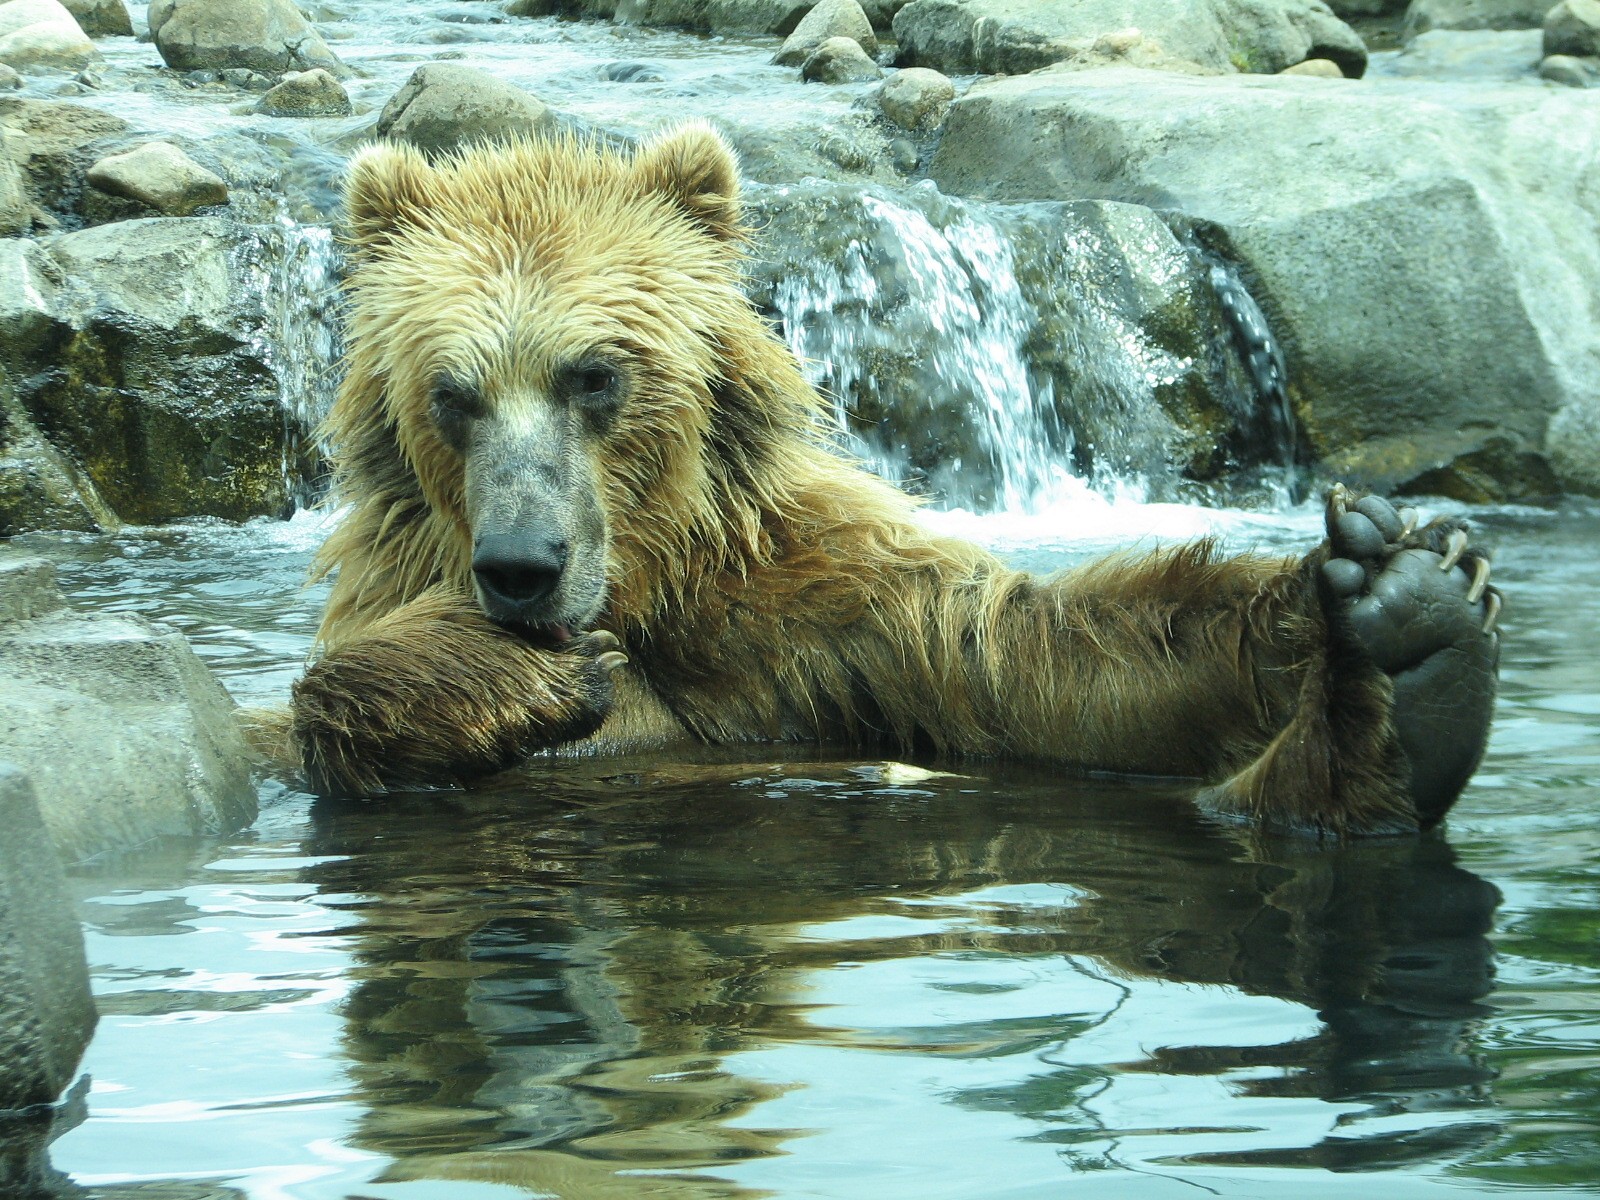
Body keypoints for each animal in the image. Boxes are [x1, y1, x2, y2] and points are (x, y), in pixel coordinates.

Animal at [287, 125, 1501, 836]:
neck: (648, 589)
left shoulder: (817, 616)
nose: (522, 567)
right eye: (452, 392)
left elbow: (1034, 654)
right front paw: (494, 668)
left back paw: (1407, 660)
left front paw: (1391, 582)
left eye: (594, 373)